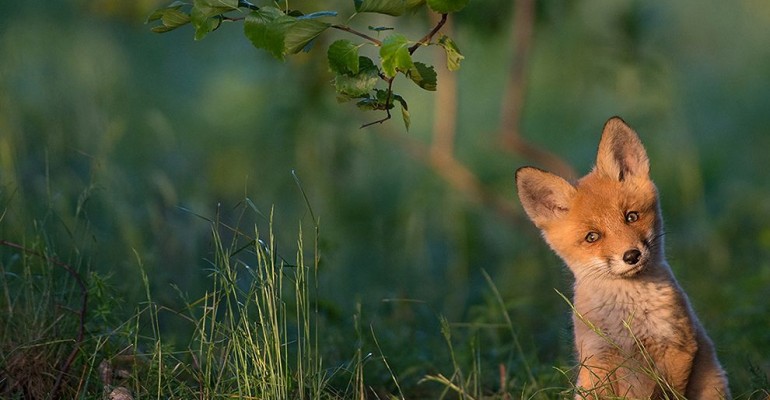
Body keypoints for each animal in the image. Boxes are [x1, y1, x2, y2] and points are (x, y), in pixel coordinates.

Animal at [516, 117, 728, 398]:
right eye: (592, 237)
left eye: (631, 217)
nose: (631, 255)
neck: (627, 319)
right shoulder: (598, 358)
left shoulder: (677, 347)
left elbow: (666, 392)